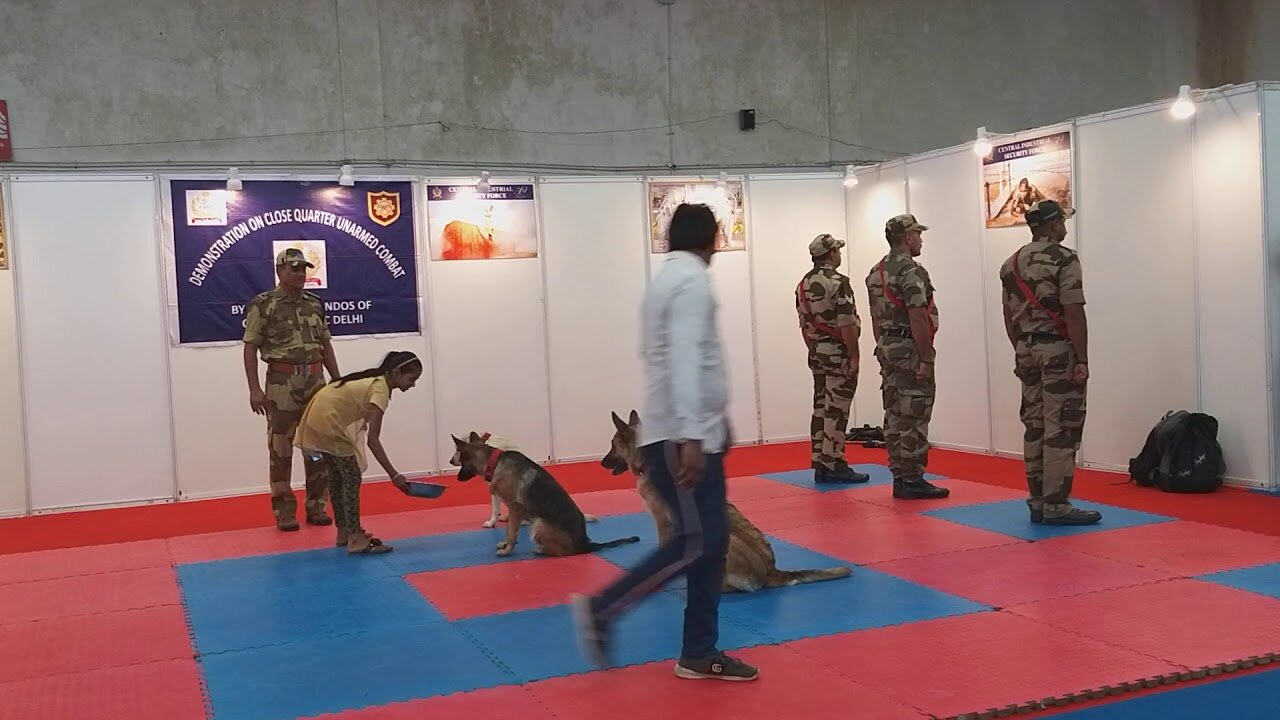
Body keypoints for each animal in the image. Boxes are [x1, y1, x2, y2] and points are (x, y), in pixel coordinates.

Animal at [455, 430, 645, 556]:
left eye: (462, 462)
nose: (457, 478)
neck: (494, 462)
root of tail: (586, 544)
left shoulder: (515, 507)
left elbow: (511, 531)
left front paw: (508, 549)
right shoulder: (512, 508)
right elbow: (510, 530)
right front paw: (506, 543)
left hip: (539, 525)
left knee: (564, 552)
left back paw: (541, 550)